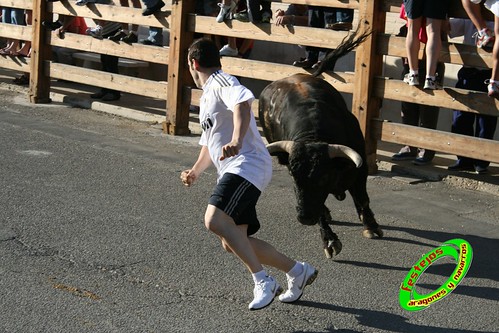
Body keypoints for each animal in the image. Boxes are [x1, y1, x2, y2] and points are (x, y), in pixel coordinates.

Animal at [260, 29, 384, 256]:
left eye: (323, 176)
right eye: (293, 175)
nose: (304, 217)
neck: (313, 135)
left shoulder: (360, 170)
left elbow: (362, 197)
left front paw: (371, 227)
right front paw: (329, 240)